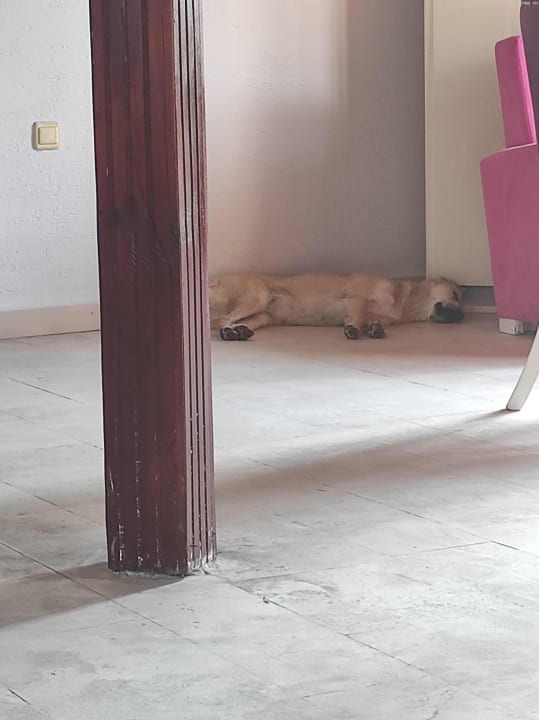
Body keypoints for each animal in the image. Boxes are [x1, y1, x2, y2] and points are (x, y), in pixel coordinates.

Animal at [209, 272, 464, 341]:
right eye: (455, 294)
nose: (461, 315)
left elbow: (372, 321)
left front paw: (374, 329)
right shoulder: (356, 297)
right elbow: (357, 317)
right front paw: (353, 329)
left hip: (262, 316)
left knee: (231, 323)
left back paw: (237, 332)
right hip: (256, 297)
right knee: (220, 320)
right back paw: (229, 331)